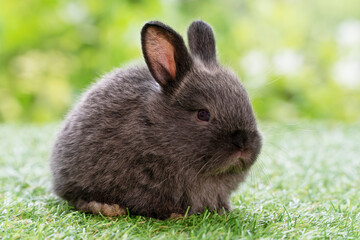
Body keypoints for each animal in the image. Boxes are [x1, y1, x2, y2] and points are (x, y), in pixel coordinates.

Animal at [50, 20, 262, 219]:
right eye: (203, 114)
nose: (243, 143)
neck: (157, 128)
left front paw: (221, 211)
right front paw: (176, 215)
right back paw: (106, 208)